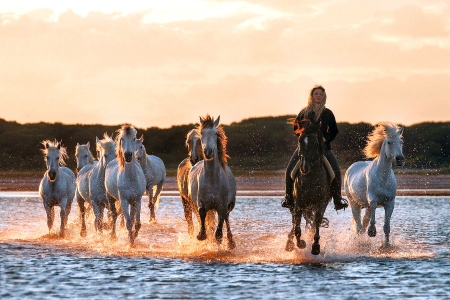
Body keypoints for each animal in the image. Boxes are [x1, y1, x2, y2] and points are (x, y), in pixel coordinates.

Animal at [187, 115, 236, 248]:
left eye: (215, 133)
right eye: (202, 133)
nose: (208, 151)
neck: (212, 180)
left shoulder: (222, 206)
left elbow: (219, 233)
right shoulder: (201, 203)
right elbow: (202, 213)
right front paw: (201, 235)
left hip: (230, 205)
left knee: (227, 218)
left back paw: (231, 242)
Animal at [284, 118, 330, 254]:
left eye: (314, 143)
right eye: (299, 141)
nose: (304, 167)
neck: (310, 178)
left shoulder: (321, 202)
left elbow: (317, 221)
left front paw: (315, 246)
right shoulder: (299, 203)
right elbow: (297, 225)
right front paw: (300, 243)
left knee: (312, 221)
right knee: (295, 221)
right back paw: (289, 243)